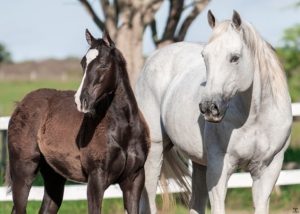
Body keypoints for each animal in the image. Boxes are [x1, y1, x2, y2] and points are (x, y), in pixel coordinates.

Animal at [5, 29, 149, 213]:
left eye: (103, 64)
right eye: (83, 63)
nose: (81, 101)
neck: (123, 131)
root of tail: (20, 104)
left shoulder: (134, 179)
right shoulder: (96, 180)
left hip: (54, 177)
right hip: (24, 171)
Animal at [135, 10, 290, 214]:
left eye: (235, 57)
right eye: (204, 56)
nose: (209, 107)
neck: (255, 119)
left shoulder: (268, 171)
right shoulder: (219, 168)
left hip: (199, 164)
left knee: (195, 203)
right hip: (155, 152)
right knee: (148, 201)